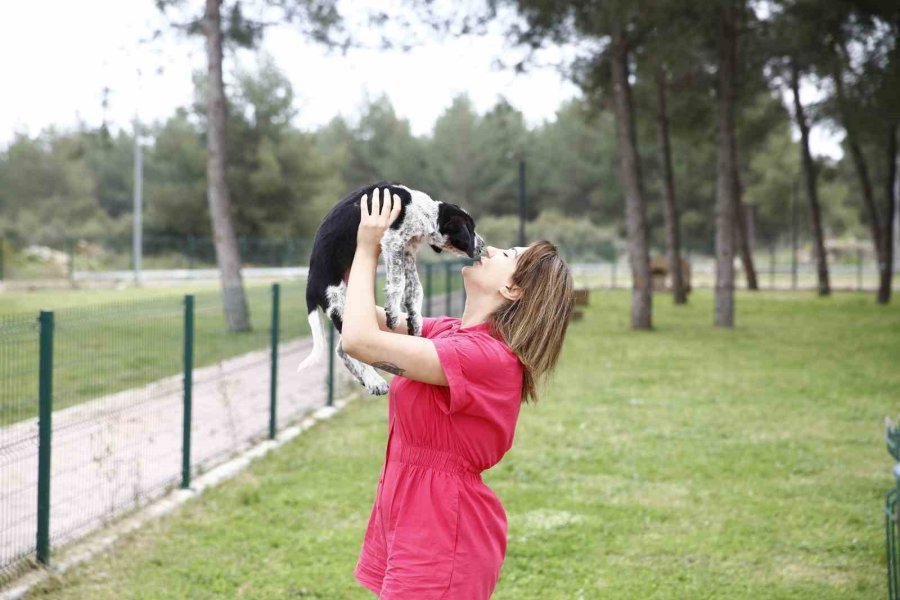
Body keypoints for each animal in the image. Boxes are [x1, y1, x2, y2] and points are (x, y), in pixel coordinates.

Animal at [298, 179, 486, 394]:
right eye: (471, 230)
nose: (483, 246)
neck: (422, 211)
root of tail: (310, 287)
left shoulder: (407, 249)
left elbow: (415, 288)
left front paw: (415, 320)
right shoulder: (393, 241)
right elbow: (398, 282)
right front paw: (394, 313)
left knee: (341, 349)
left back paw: (366, 379)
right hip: (339, 303)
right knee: (346, 348)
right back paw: (374, 380)